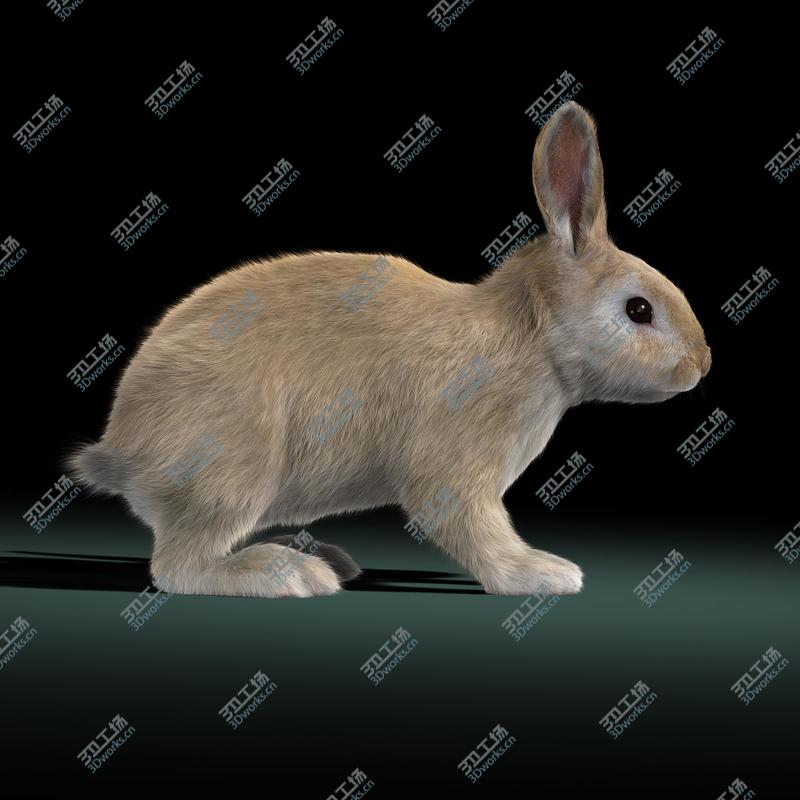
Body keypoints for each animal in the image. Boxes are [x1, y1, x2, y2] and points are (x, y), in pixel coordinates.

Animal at [66, 100, 711, 599]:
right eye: (639, 310)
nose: (702, 364)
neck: (531, 339)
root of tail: (123, 452)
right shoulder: (454, 471)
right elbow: (474, 529)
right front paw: (541, 574)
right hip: (234, 468)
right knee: (179, 566)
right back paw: (289, 574)